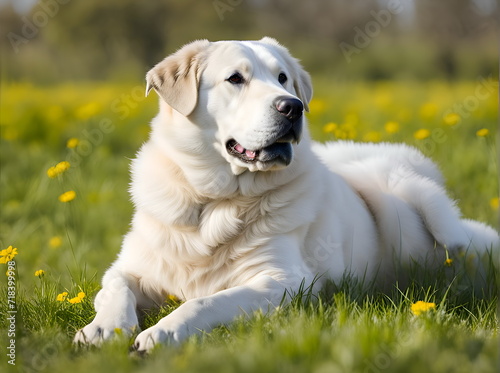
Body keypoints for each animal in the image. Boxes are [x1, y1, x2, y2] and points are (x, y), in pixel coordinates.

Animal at [73, 36, 496, 350]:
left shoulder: (282, 281)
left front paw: (163, 331)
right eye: (235, 79)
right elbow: (115, 288)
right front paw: (102, 329)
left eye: (282, 78)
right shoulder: (129, 267)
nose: (292, 107)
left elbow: (206, 300)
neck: (215, 199)